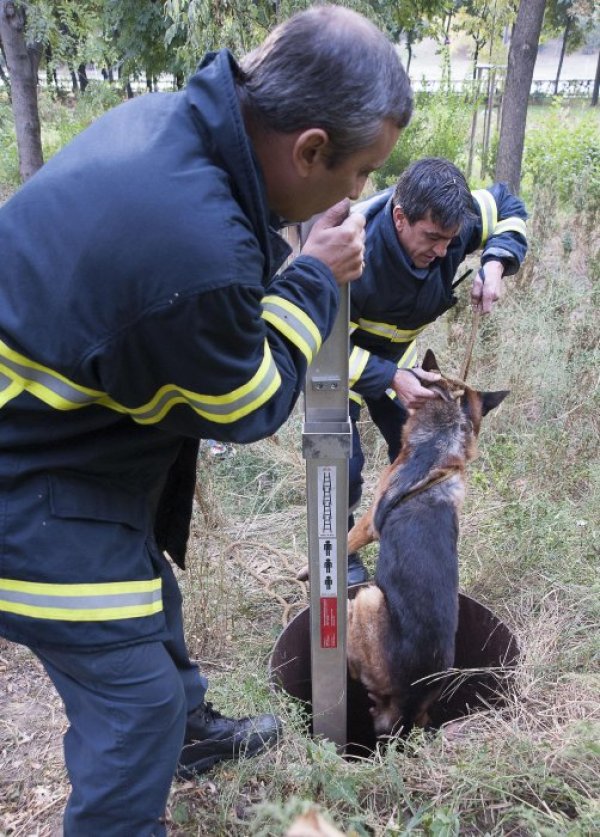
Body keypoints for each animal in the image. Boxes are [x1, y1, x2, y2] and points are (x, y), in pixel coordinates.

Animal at [344, 350, 508, 736]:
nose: (403, 368)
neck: (443, 440)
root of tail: (411, 695)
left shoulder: (369, 522)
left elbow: (346, 540)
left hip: (369, 598)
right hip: (424, 709)